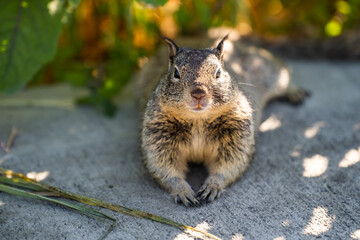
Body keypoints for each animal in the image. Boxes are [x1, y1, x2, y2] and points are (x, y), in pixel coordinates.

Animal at [134, 30, 308, 206]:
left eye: (218, 73)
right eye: (176, 73)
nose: (198, 94)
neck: (198, 120)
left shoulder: (237, 136)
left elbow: (229, 165)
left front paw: (212, 186)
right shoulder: (158, 138)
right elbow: (164, 168)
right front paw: (183, 191)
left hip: (270, 72)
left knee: (282, 72)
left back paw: (295, 92)